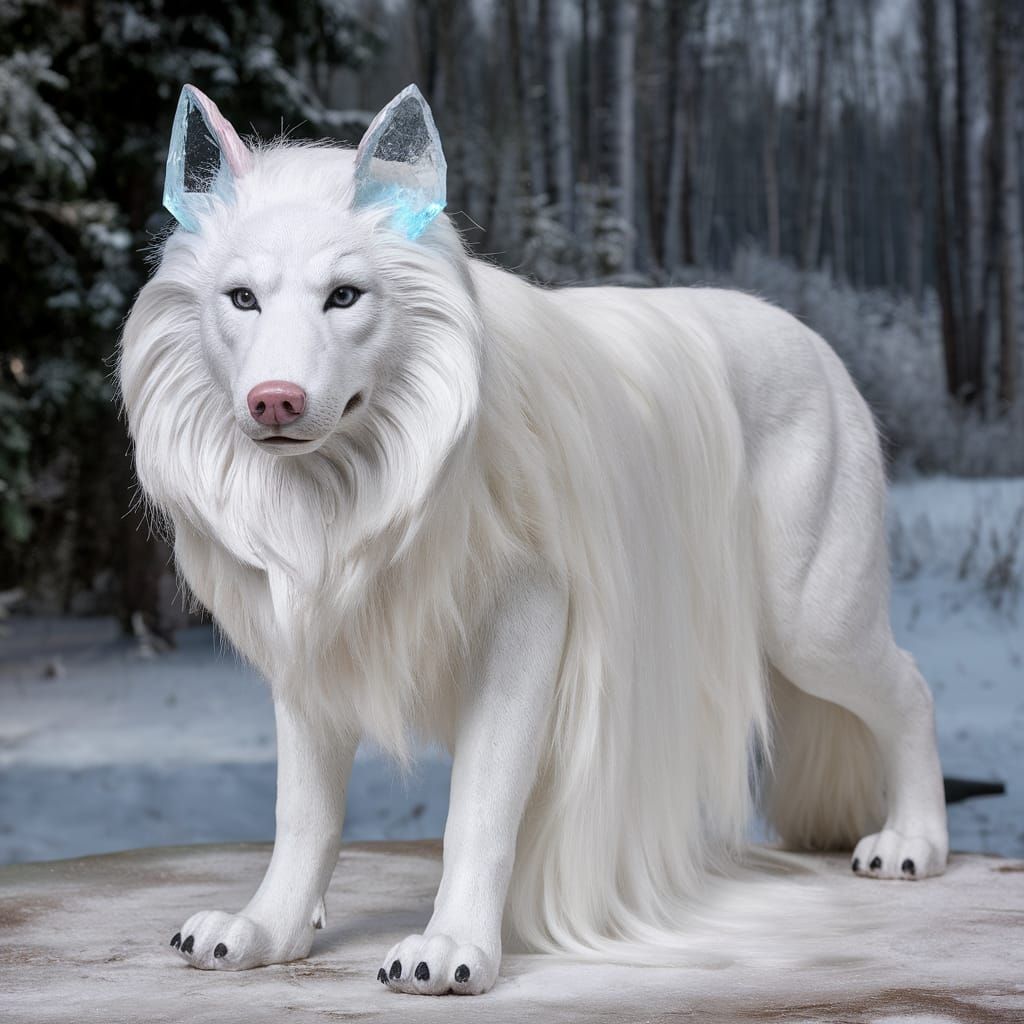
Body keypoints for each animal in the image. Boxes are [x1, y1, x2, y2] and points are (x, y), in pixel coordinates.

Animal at [118, 84, 949, 995]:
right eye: (242, 299)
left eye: (344, 296)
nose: (275, 400)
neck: (349, 495)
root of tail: (819, 344)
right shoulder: (313, 639)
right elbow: (304, 817)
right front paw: (267, 930)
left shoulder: (527, 627)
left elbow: (477, 812)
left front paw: (452, 951)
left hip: (813, 631)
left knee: (912, 687)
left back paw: (912, 845)